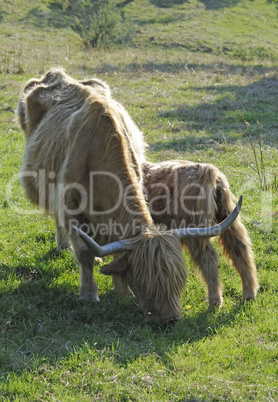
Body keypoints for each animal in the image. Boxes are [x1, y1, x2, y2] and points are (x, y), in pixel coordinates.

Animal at [16, 68, 240, 320]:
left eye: (180, 280)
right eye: (146, 281)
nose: (171, 318)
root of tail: (57, 74)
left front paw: (121, 290)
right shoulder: (70, 205)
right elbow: (83, 252)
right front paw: (89, 294)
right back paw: (63, 245)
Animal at [142, 159, 260, 306]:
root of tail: (207, 170)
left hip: (195, 229)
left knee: (208, 257)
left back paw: (215, 300)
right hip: (227, 217)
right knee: (240, 249)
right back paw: (249, 294)